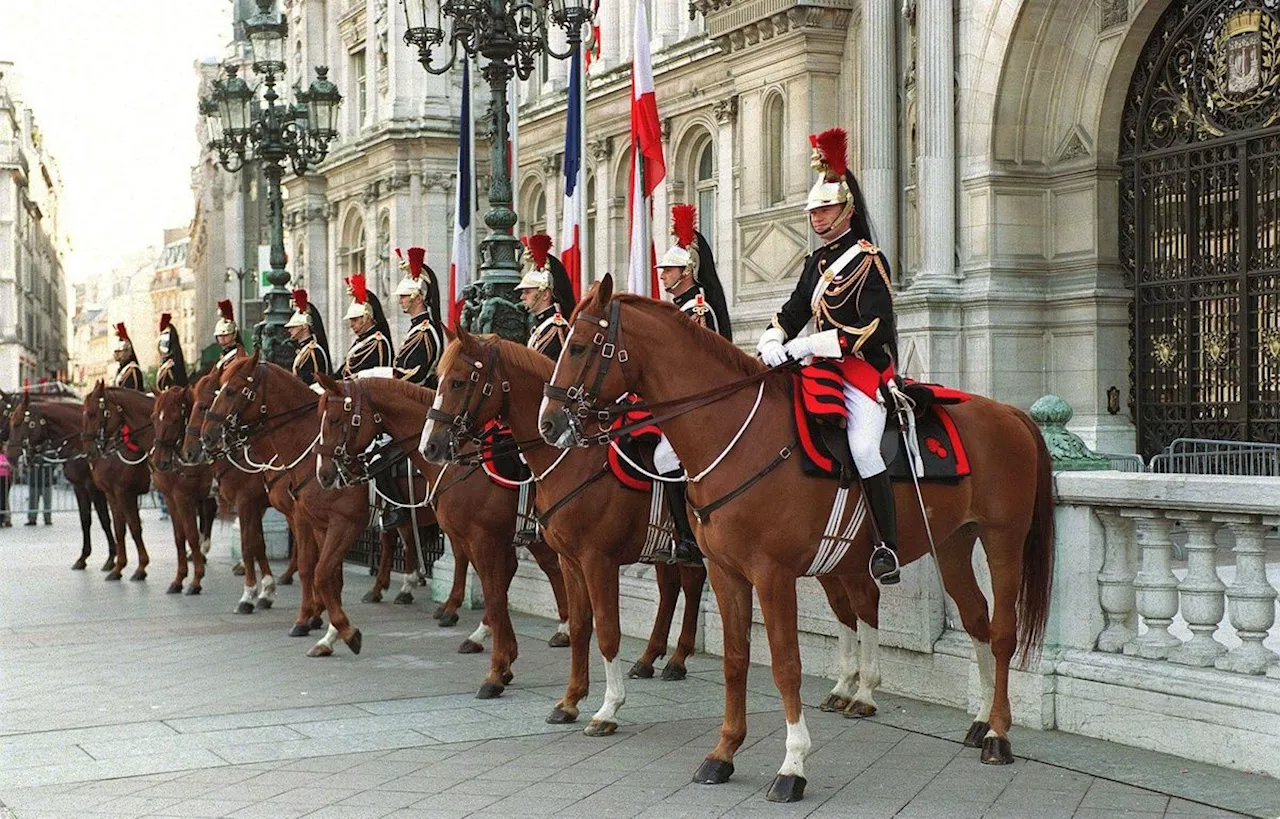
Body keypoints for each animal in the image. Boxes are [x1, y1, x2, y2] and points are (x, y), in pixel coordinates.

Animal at [4, 391, 116, 568]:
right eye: (10, 420)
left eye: (17, 423)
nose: (9, 455)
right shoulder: (79, 487)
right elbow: (85, 519)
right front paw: (83, 557)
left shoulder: (95, 487)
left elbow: (105, 519)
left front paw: (112, 557)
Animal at [81, 383, 152, 583]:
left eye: (92, 414)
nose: (89, 451)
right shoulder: (112, 494)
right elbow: (119, 528)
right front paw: (118, 567)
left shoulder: (124, 493)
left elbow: (134, 527)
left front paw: (141, 567)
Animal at [149, 386, 220, 591]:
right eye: (154, 417)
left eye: (175, 419)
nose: (158, 461)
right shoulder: (171, 499)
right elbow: (179, 536)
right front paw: (179, 578)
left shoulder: (185, 498)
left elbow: (192, 535)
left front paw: (196, 580)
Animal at [312, 373, 573, 696]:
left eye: (335, 419)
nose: (323, 475)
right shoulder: (482, 536)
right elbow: (493, 589)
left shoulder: (480, 536)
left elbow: (493, 589)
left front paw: (498, 667)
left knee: (552, 567)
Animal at [535, 278, 1054, 803]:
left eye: (578, 346)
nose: (549, 423)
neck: (735, 435)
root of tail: (1009, 411)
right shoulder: (725, 573)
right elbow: (736, 659)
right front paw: (724, 752)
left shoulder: (771, 574)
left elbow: (786, 664)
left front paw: (793, 765)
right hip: (951, 543)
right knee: (975, 619)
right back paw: (979, 719)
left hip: (1002, 538)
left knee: (1002, 630)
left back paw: (998, 734)